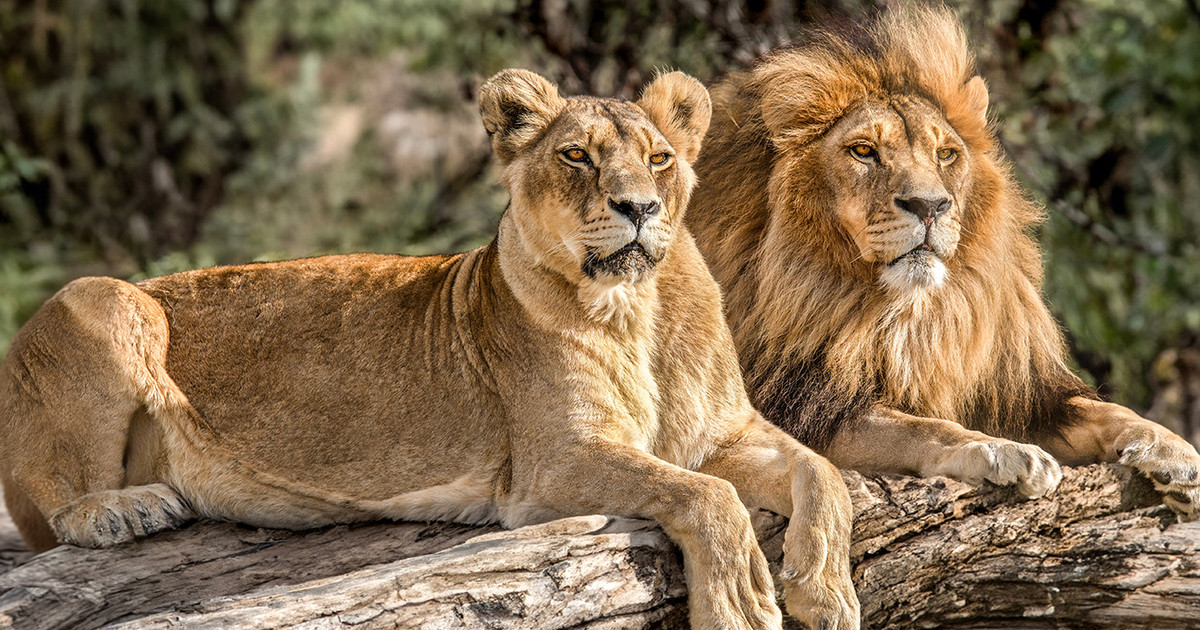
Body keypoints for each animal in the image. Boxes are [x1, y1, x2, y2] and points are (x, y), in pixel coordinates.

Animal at [2, 68, 864, 628]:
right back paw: (125, 509)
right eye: (577, 156)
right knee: (51, 505)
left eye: (659, 158)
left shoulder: (724, 433)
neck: (638, 309)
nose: (639, 208)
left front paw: (824, 592)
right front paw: (743, 606)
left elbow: (822, 474)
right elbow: (707, 495)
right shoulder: (552, 468)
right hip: (99, 297)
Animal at [686, 7, 1200, 513]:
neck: (908, 314)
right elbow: (918, 428)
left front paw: (1175, 451)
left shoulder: (1017, 391)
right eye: (863, 151)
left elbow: (1106, 410)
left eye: (946, 154)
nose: (929, 205)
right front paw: (999, 449)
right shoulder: (799, 405)